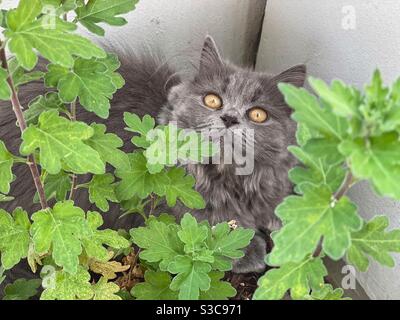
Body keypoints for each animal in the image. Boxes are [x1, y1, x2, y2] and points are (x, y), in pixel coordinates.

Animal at [0, 36, 306, 284]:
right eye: (212, 100)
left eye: (258, 114)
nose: (229, 118)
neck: (230, 180)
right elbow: (216, 234)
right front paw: (251, 251)